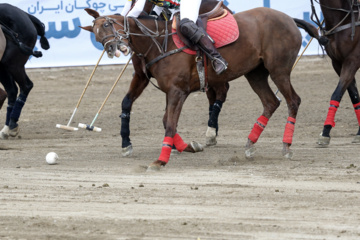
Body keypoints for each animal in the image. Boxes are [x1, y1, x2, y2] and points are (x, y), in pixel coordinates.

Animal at [0, 3, 49, 139]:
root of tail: (25, 14)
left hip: (13, 63)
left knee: (26, 86)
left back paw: (11, 124)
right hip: (4, 66)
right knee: (12, 90)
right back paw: (8, 128)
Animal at [83, 6, 324, 170]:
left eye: (107, 25)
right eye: (95, 33)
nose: (112, 48)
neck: (158, 42)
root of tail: (289, 18)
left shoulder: (178, 91)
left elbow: (169, 123)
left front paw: (161, 160)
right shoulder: (153, 82)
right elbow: (162, 119)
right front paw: (185, 147)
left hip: (279, 69)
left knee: (293, 101)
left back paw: (286, 146)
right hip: (255, 73)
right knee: (271, 102)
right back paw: (249, 145)